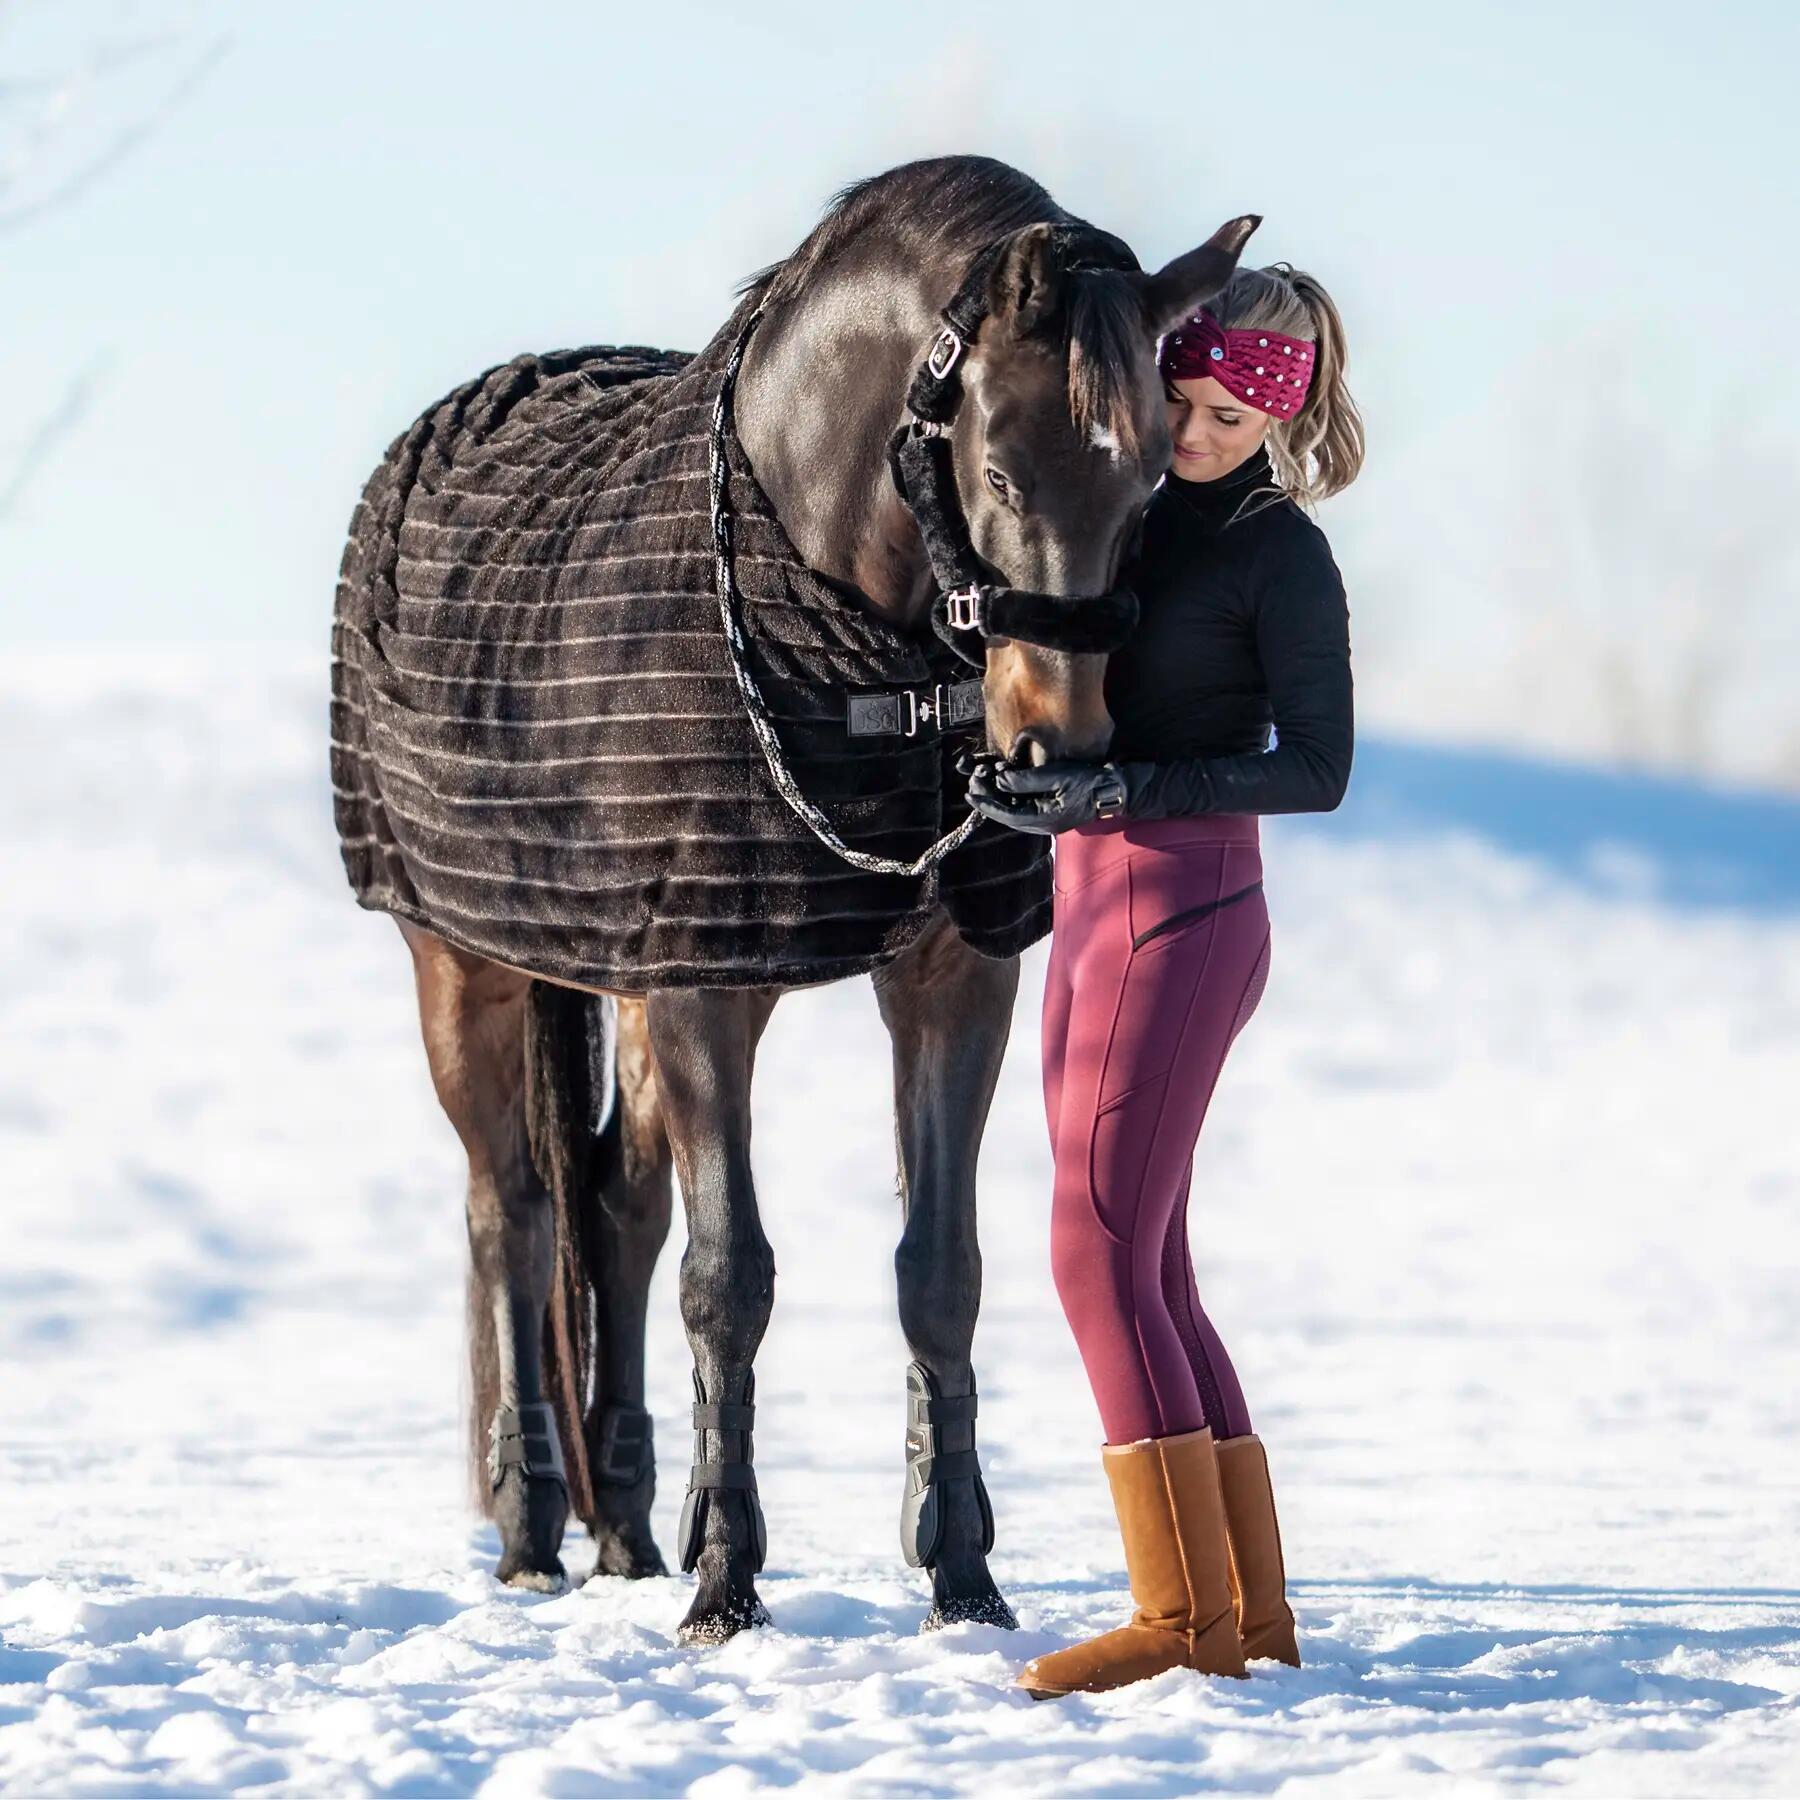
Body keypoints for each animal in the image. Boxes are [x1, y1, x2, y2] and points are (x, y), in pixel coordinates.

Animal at [330, 154, 1255, 1643]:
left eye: (1152, 487)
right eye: (1003, 467)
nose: (1055, 758)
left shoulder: (950, 976)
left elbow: (939, 1271)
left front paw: (961, 1575)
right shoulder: (711, 984)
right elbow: (731, 1280)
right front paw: (727, 1586)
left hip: (626, 978)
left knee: (612, 1209)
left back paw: (626, 1526)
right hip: (463, 960)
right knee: (510, 1212)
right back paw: (534, 1532)